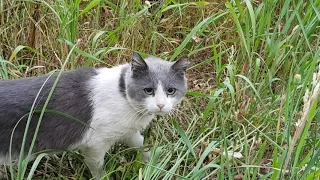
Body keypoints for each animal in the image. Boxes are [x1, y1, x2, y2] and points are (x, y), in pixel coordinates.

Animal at [0, 52, 189, 179]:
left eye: (171, 90)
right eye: (148, 90)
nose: (161, 105)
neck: (122, 94)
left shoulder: (128, 131)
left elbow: (141, 144)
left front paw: (154, 165)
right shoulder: (96, 143)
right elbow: (98, 168)